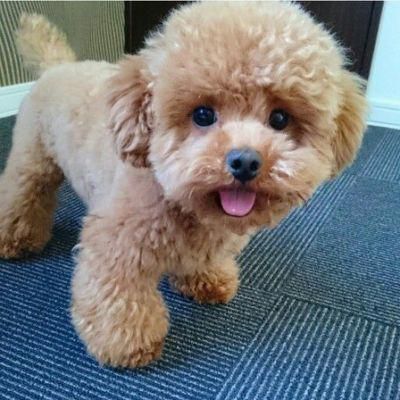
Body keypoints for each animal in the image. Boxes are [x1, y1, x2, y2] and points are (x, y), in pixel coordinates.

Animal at [0, 1, 368, 368]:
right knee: (21, 193)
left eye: (279, 118)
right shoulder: (116, 243)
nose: (245, 161)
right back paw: (15, 238)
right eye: (203, 115)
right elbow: (118, 295)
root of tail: (58, 66)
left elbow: (203, 261)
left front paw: (207, 279)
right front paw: (129, 343)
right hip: (32, 158)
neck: (183, 203)